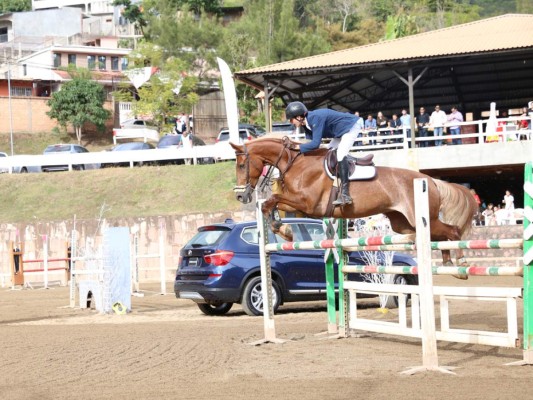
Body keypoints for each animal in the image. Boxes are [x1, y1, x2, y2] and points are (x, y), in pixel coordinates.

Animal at [231, 136, 476, 268]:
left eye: (242, 165)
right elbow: (271, 204)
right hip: (403, 223)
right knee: (438, 235)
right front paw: (282, 229)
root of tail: (430, 180)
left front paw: (282, 229)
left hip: (422, 218)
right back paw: (448, 262)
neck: (296, 163)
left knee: (452, 231)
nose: (241, 197)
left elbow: (272, 199)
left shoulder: (308, 203)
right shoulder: (300, 204)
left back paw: (461, 262)